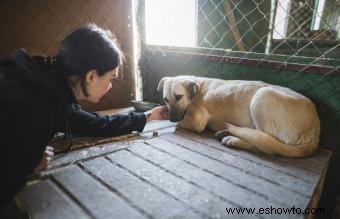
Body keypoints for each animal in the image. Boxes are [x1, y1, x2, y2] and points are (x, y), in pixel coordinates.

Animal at [158, 75, 320, 157]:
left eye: (178, 97)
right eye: (166, 99)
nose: (172, 118)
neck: (197, 89)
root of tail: (315, 136)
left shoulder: (198, 121)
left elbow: (182, 123)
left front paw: (173, 123)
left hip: (262, 96)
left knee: (266, 146)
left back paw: (232, 139)